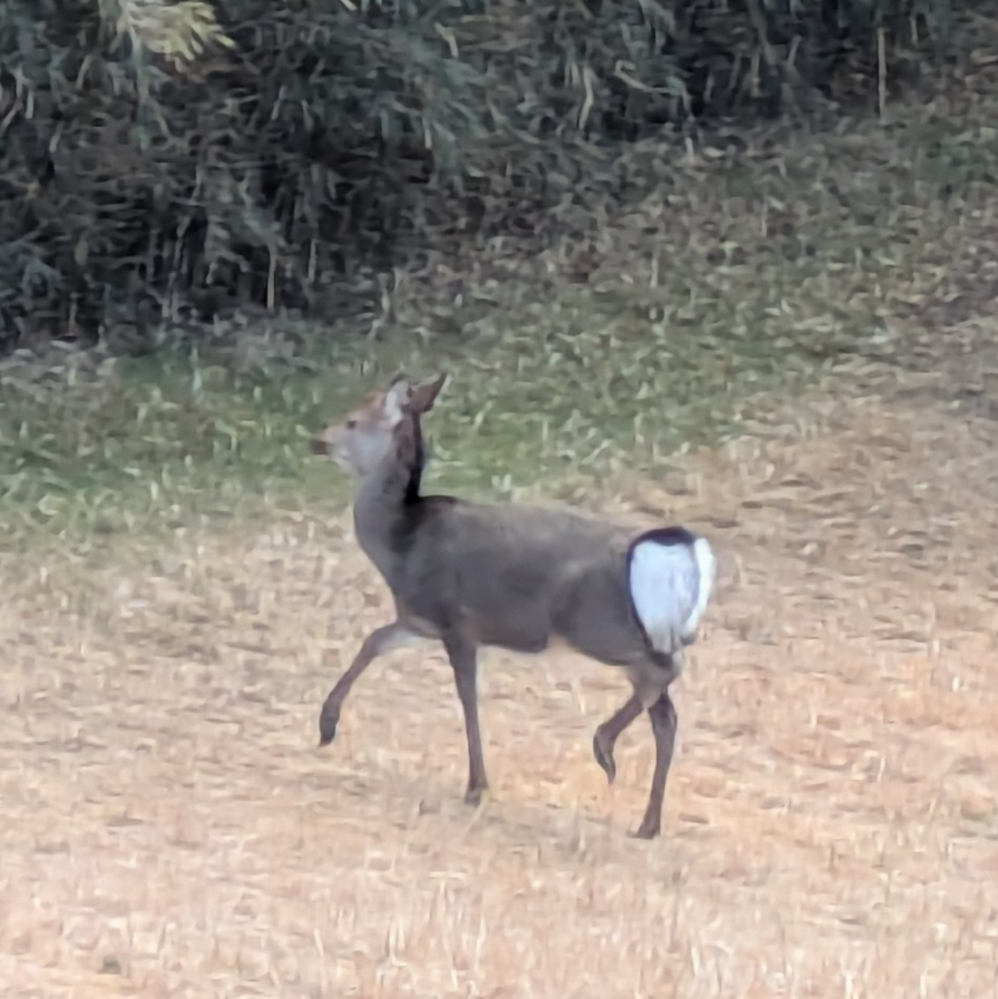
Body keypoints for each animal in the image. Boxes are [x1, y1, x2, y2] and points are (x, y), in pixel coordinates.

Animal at [308, 372, 716, 840]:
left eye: (353, 421)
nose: (317, 440)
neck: (402, 544)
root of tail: (674, 555)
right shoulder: (419, 618)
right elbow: (373, 641)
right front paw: (326, 725)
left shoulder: (458, 620)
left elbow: (467, 694)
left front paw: (476, 785)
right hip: (638, 632)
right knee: (665, 714)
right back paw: (647, 822)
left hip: (599, 626)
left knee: (667, 671)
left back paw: (604, 746)